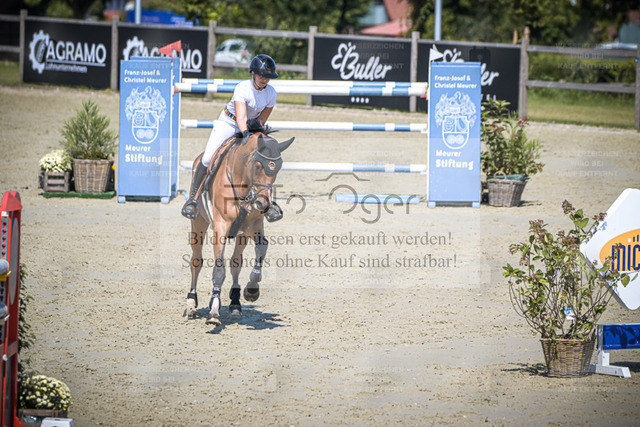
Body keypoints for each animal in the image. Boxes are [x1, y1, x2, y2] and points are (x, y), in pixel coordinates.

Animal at [184, 126, 295, 325]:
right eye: (258, 165)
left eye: (278, 167)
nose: (262, 204)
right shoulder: (220, 226)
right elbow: (218, 270)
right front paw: (214, 312)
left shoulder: (254, 225)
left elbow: (262, 248)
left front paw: (251, 289)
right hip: (198, 223)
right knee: (196, 261)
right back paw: (191, 303)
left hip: (242, 234)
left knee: (236, 262)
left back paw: (235, 303)